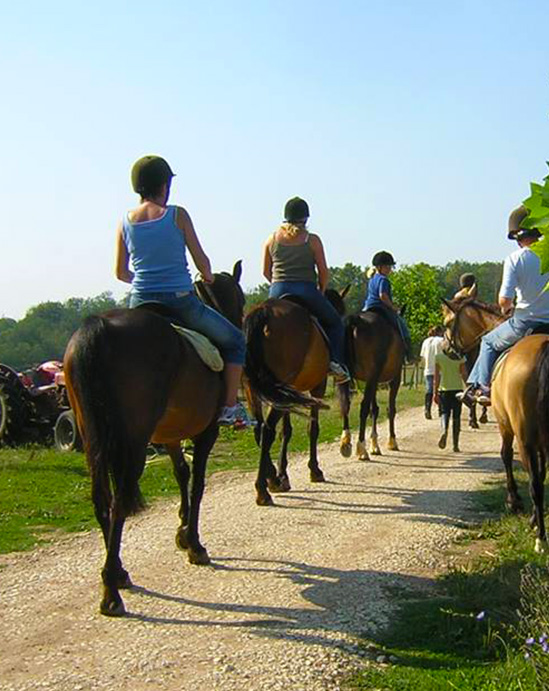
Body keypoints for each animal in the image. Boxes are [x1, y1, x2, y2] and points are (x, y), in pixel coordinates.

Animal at [63, 260, 244, 616]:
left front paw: (183, 532)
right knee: (119, 500)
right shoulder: (207, 432)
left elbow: (181, 474)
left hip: (93, 439)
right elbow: (198, 483)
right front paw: (195, 544)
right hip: (133, 441)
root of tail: (99, 327)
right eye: (242, 299)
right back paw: (111, 592)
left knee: (102, 499)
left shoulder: (171, 435)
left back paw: (117, 574)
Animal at [243, 288, 346, 508]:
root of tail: (264, 311)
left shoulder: (291, 393)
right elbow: (313, 428)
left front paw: (283, 474)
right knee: (267, 430)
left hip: (255, 388)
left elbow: (287, 431)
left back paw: (271, 480)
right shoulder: (317, 388)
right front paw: (315, 470)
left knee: (259, 428)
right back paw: (263, 490)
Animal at [336, 308, 404, 460]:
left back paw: (345, 442)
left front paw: (375, 445)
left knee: (345, 404)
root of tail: (355, 321)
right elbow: (391, 409)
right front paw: (392, 441)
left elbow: (375, 410)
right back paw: (362, 448)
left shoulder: (373, 380)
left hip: (346, 376)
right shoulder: (394, 378)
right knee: (363, 408)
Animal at [440, 298, 548, 552]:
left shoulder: (505, 425)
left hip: (524, 437)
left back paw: (540, 538)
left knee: (535, 483)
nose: (446, 349)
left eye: (448, 322)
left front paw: (514, 501)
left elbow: (506, 456)